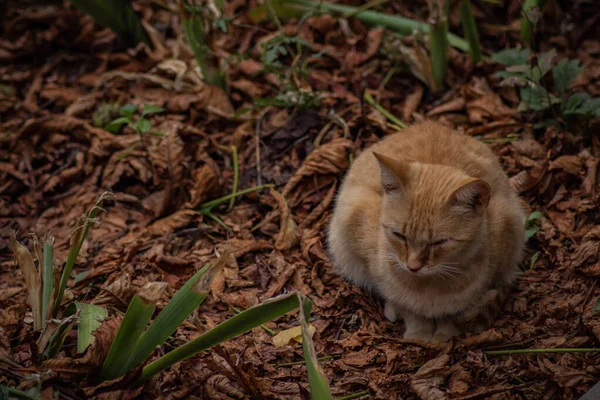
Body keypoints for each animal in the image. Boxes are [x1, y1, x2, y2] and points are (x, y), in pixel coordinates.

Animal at [328, 120, 524, 342]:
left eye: (439, 242)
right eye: (399, 235)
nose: (412, 266)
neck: (429, 287)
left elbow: (453, 314)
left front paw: (444, 335)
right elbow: (407, 307)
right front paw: (418, 333)